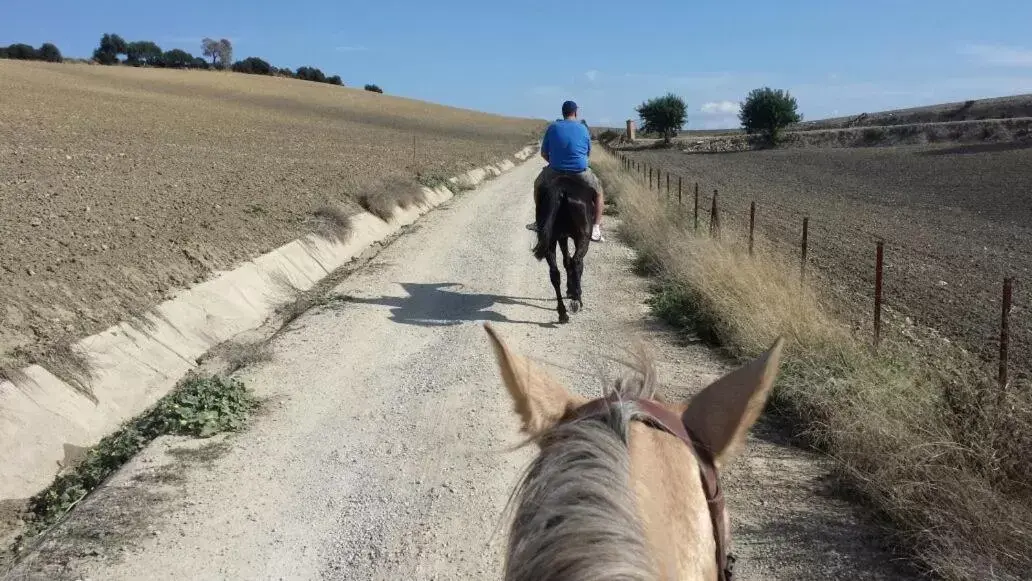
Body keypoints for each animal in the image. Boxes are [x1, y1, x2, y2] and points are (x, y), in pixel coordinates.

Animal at [532, 175, 598, 326]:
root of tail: (560, 191)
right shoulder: (571, 237)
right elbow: (573, 263)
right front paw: (573, 292)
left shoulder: (562, 237)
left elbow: (566, 261)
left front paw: (569, 290)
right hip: (583, 237)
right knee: (577, 261)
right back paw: (577, 300)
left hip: (550, 240)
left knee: (555, 273)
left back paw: (562, 313)